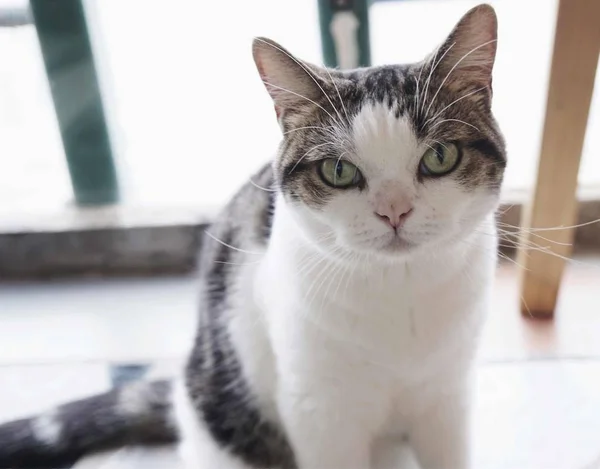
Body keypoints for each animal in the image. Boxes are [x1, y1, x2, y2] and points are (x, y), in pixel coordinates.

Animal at [0, 3, 506, 468]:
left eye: (439, 157)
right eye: (338, 170)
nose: (394, 211)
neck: (401, 293)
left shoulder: (447, 399)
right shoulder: (318, 410)